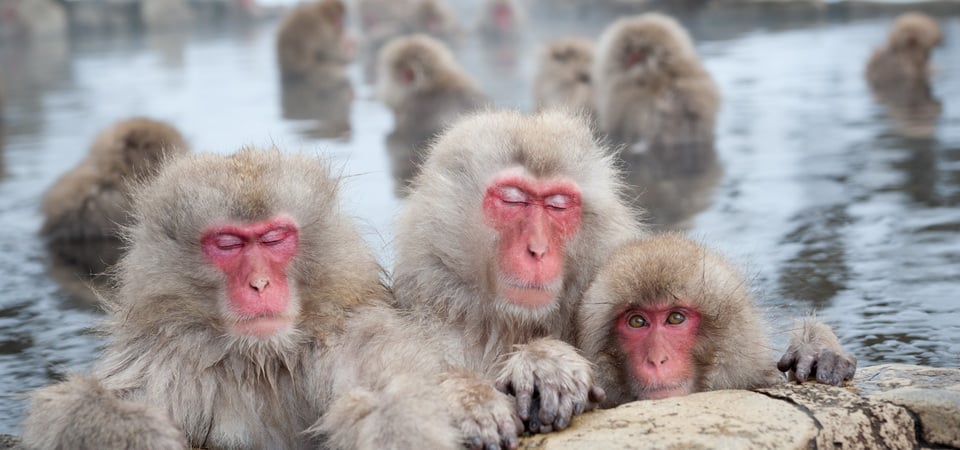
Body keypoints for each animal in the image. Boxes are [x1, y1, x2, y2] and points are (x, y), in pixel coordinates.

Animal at [21, 147, 480, 450]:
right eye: (228, 244)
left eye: (274, 238)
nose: (259, 284)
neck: (262, 359)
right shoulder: (162, 360)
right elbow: (73, 408)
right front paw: (138, 433)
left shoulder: (353, 338)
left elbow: (390, 394)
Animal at [393, 109, 647, 434]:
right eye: (513, 199)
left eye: (557, 205)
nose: (537, 249)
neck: (509, 325)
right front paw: (471, 397)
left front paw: (545, 362)